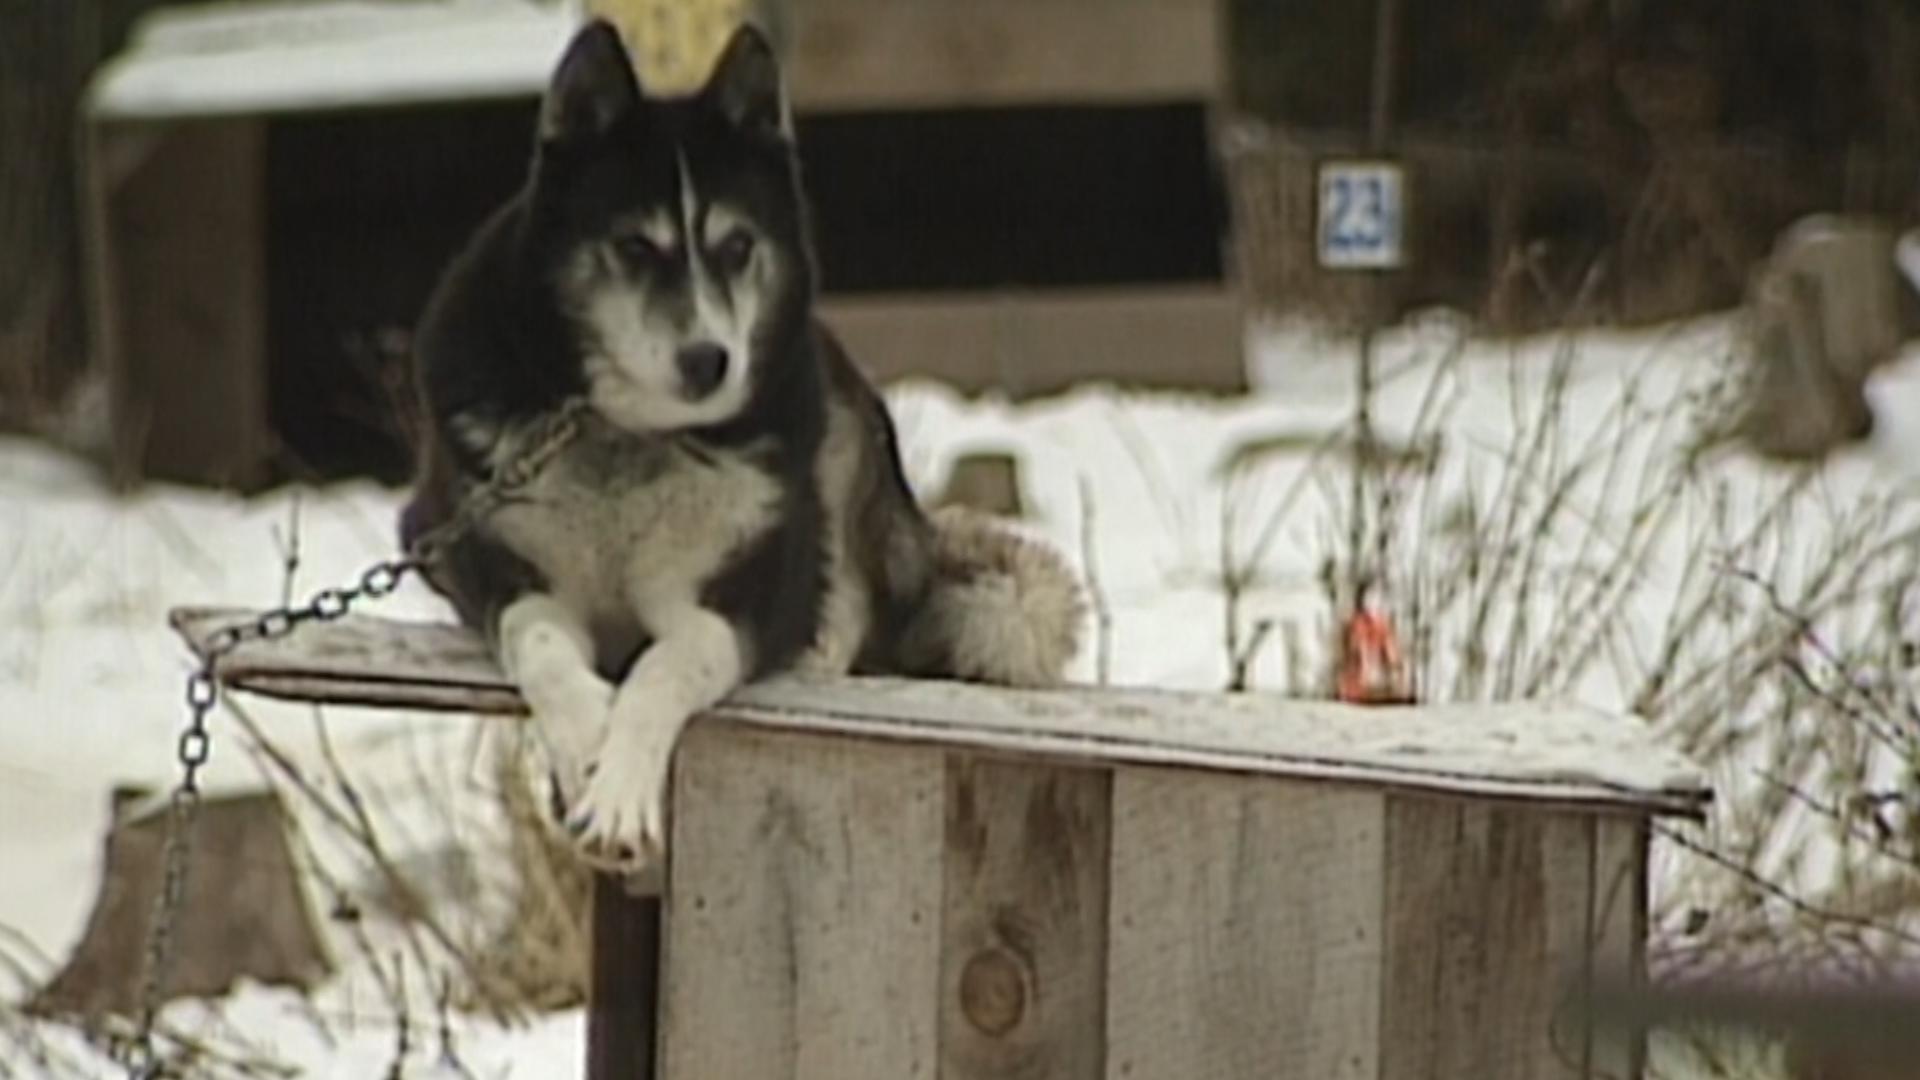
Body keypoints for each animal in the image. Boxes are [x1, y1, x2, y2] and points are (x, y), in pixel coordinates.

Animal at [399, 18, 1090, 864]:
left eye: (736, 247)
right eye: (635, 248)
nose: (710, 361)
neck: (630, 434)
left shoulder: (739, 595)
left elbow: (669, 663)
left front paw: (620, 794)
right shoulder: (480, 555)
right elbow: (541, 644)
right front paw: (587, 743)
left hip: (839, 430)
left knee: (849, 584)